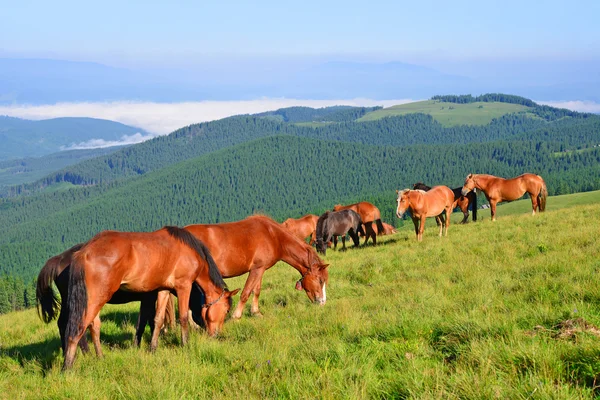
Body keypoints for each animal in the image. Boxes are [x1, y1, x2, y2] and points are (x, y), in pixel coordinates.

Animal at [61, 227, 239, 370]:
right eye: (226, 310)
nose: (217, 334)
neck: (190, 252)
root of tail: (84, 252)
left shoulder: (163, 289)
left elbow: (158, 320)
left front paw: (153, 348)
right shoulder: (184, 286)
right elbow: (182, 317)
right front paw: (185, 344)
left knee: (91, 327)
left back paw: (95, 358)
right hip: (95, 300)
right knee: (78, 329)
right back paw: (67, 367)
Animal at [185, 214, 330, 320]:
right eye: (320, 280)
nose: (323, 302)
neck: (273, 236)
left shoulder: (260, 269)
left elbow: (256, 290)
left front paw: (255, 312)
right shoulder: (256, 269)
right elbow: (246, 292)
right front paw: (236, 316)